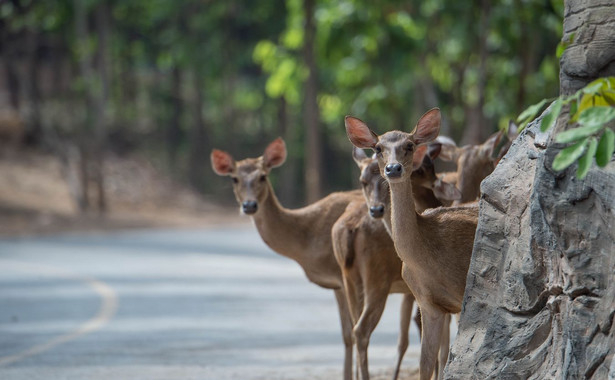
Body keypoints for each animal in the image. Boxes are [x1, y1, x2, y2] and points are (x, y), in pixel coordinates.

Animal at [212, 137, 364, 380]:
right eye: (234, 178)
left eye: (263, 176)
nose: (249, 206)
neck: (308, 239)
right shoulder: (337, 283)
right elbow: (346, 334)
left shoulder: (344, 274)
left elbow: (352, 331)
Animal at [346, 107, 482, 380]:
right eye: (378, 147)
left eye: (409, 145)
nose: (393, 168)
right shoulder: (428, 304)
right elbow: (426, 364)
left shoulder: (464, 293)